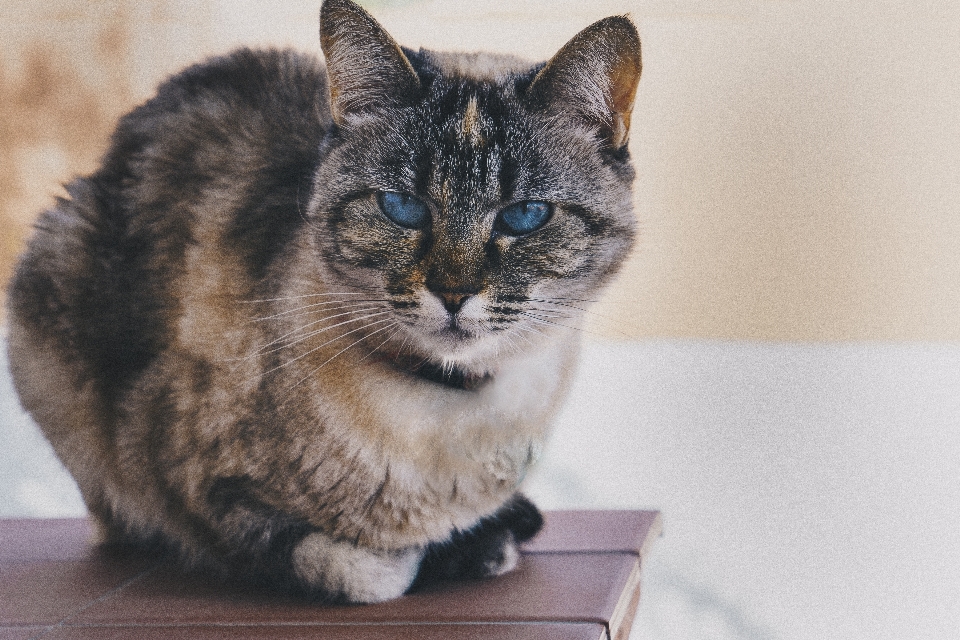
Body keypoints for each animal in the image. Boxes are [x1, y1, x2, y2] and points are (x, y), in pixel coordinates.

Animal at [7, 0, 640, 604]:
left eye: (524, 216)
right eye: (401, 207)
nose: (453, 293)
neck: (453, 411)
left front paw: (485, 537)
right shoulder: (204, 500)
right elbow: (369, 572)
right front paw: (461, 550)